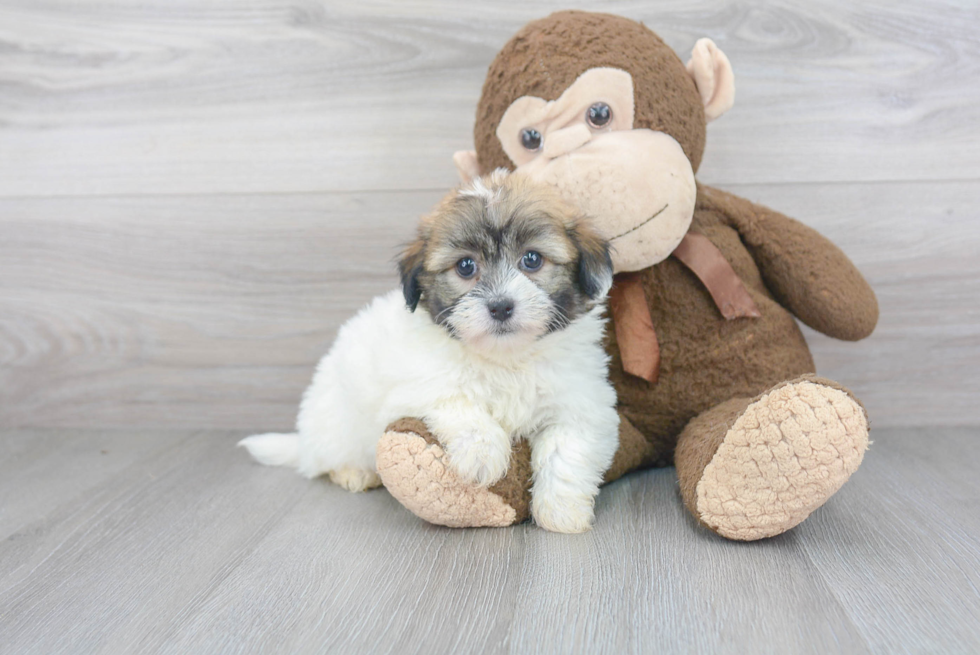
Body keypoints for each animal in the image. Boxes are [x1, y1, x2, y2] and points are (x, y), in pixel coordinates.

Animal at [240, 170, 616, 532]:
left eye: (533, 259)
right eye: (465, 266)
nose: (500, 306)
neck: (505, 357)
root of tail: (305, 438)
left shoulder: (579, 403)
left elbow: (565, 451)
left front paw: (562, 513)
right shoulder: (415, 385)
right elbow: (455, 400)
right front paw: (483, 454)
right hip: (337, 422)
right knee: (324, 462)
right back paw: (353, 472)